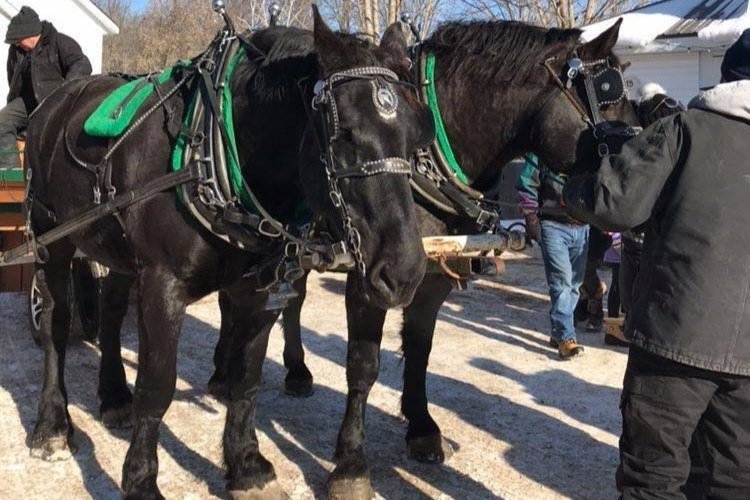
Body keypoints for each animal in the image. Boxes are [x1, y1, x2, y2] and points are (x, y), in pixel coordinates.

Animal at [260, 17, 640, 498]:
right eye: (610, 98)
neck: (428, 158)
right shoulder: (371, 278)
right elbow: (363, 365)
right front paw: (349, 464)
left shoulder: (430, 278)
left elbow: (420, 348)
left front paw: (421, 427)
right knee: (291, 299)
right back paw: (295, 370)